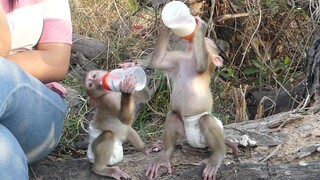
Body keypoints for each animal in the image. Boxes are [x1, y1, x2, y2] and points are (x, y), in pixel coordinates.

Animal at [145, 17, 238, 180]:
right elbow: (157, 62)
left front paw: (201, 27)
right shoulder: (177, 61)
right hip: (184, 133)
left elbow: (201, 66)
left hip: (205, 140)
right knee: (173, 115)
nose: (192, 40)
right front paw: (166, 24)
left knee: (206, 120)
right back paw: (165, 154)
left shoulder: (204, 65)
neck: (190, 59)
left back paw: (218, 155)